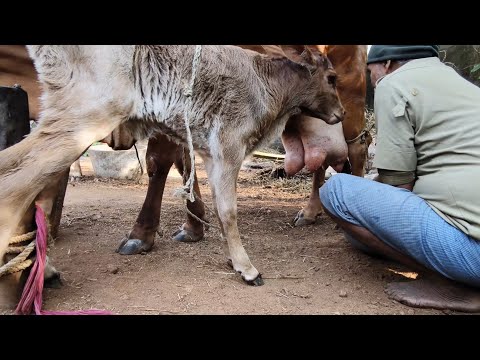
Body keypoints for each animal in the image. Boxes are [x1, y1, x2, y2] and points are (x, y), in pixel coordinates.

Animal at [0, 45, 344, 286]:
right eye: (331, 78)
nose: (341, 112)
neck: (266, 84)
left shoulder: (209, 152)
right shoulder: (228, 148)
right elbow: (228, 212)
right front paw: (246, 268)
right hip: (85, 116)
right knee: (15, 186)